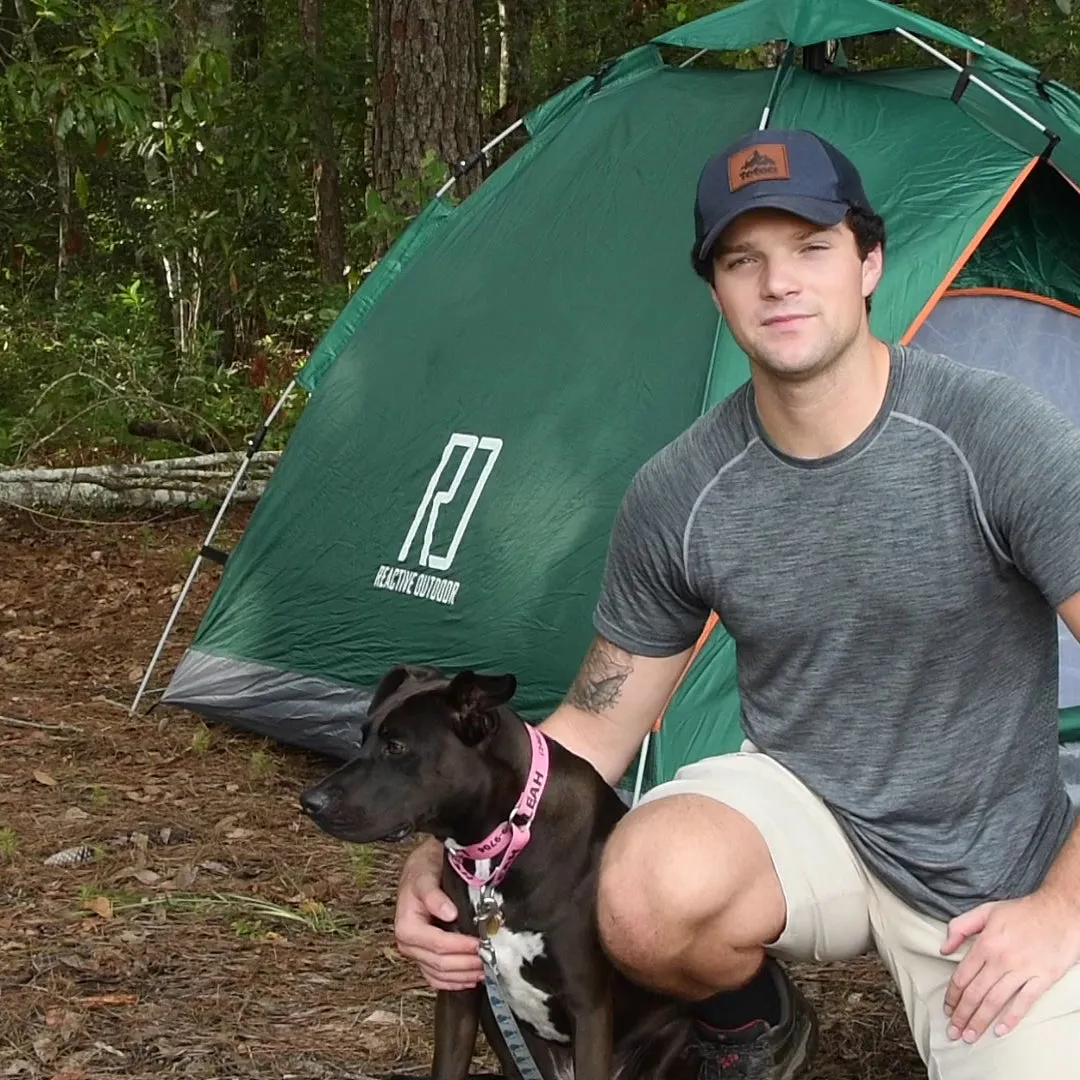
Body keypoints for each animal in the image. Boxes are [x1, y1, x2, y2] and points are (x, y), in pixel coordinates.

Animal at [300, 665, 695, 1080]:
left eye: (396, 747)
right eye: (363, 737)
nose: (310, 801)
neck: (505, 842)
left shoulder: (589, 1007)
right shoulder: (459, 991)